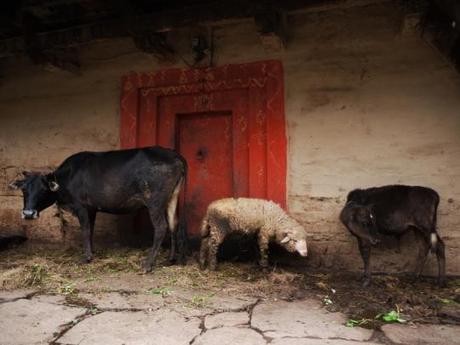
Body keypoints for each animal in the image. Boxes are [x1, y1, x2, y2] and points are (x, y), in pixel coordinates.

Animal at [8, 144, 187, 270]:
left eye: (43, 189)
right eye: (24, 189)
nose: (28, 213)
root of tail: (175, 155)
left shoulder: (80, 206)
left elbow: (85, 230)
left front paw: (86, 257)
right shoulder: (91, 208)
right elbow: (91, 230)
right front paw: (92, 252)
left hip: (154, 200)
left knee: (161, 227)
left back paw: (148, 264)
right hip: (172, 197)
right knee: (174, 223)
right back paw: (171, 259)